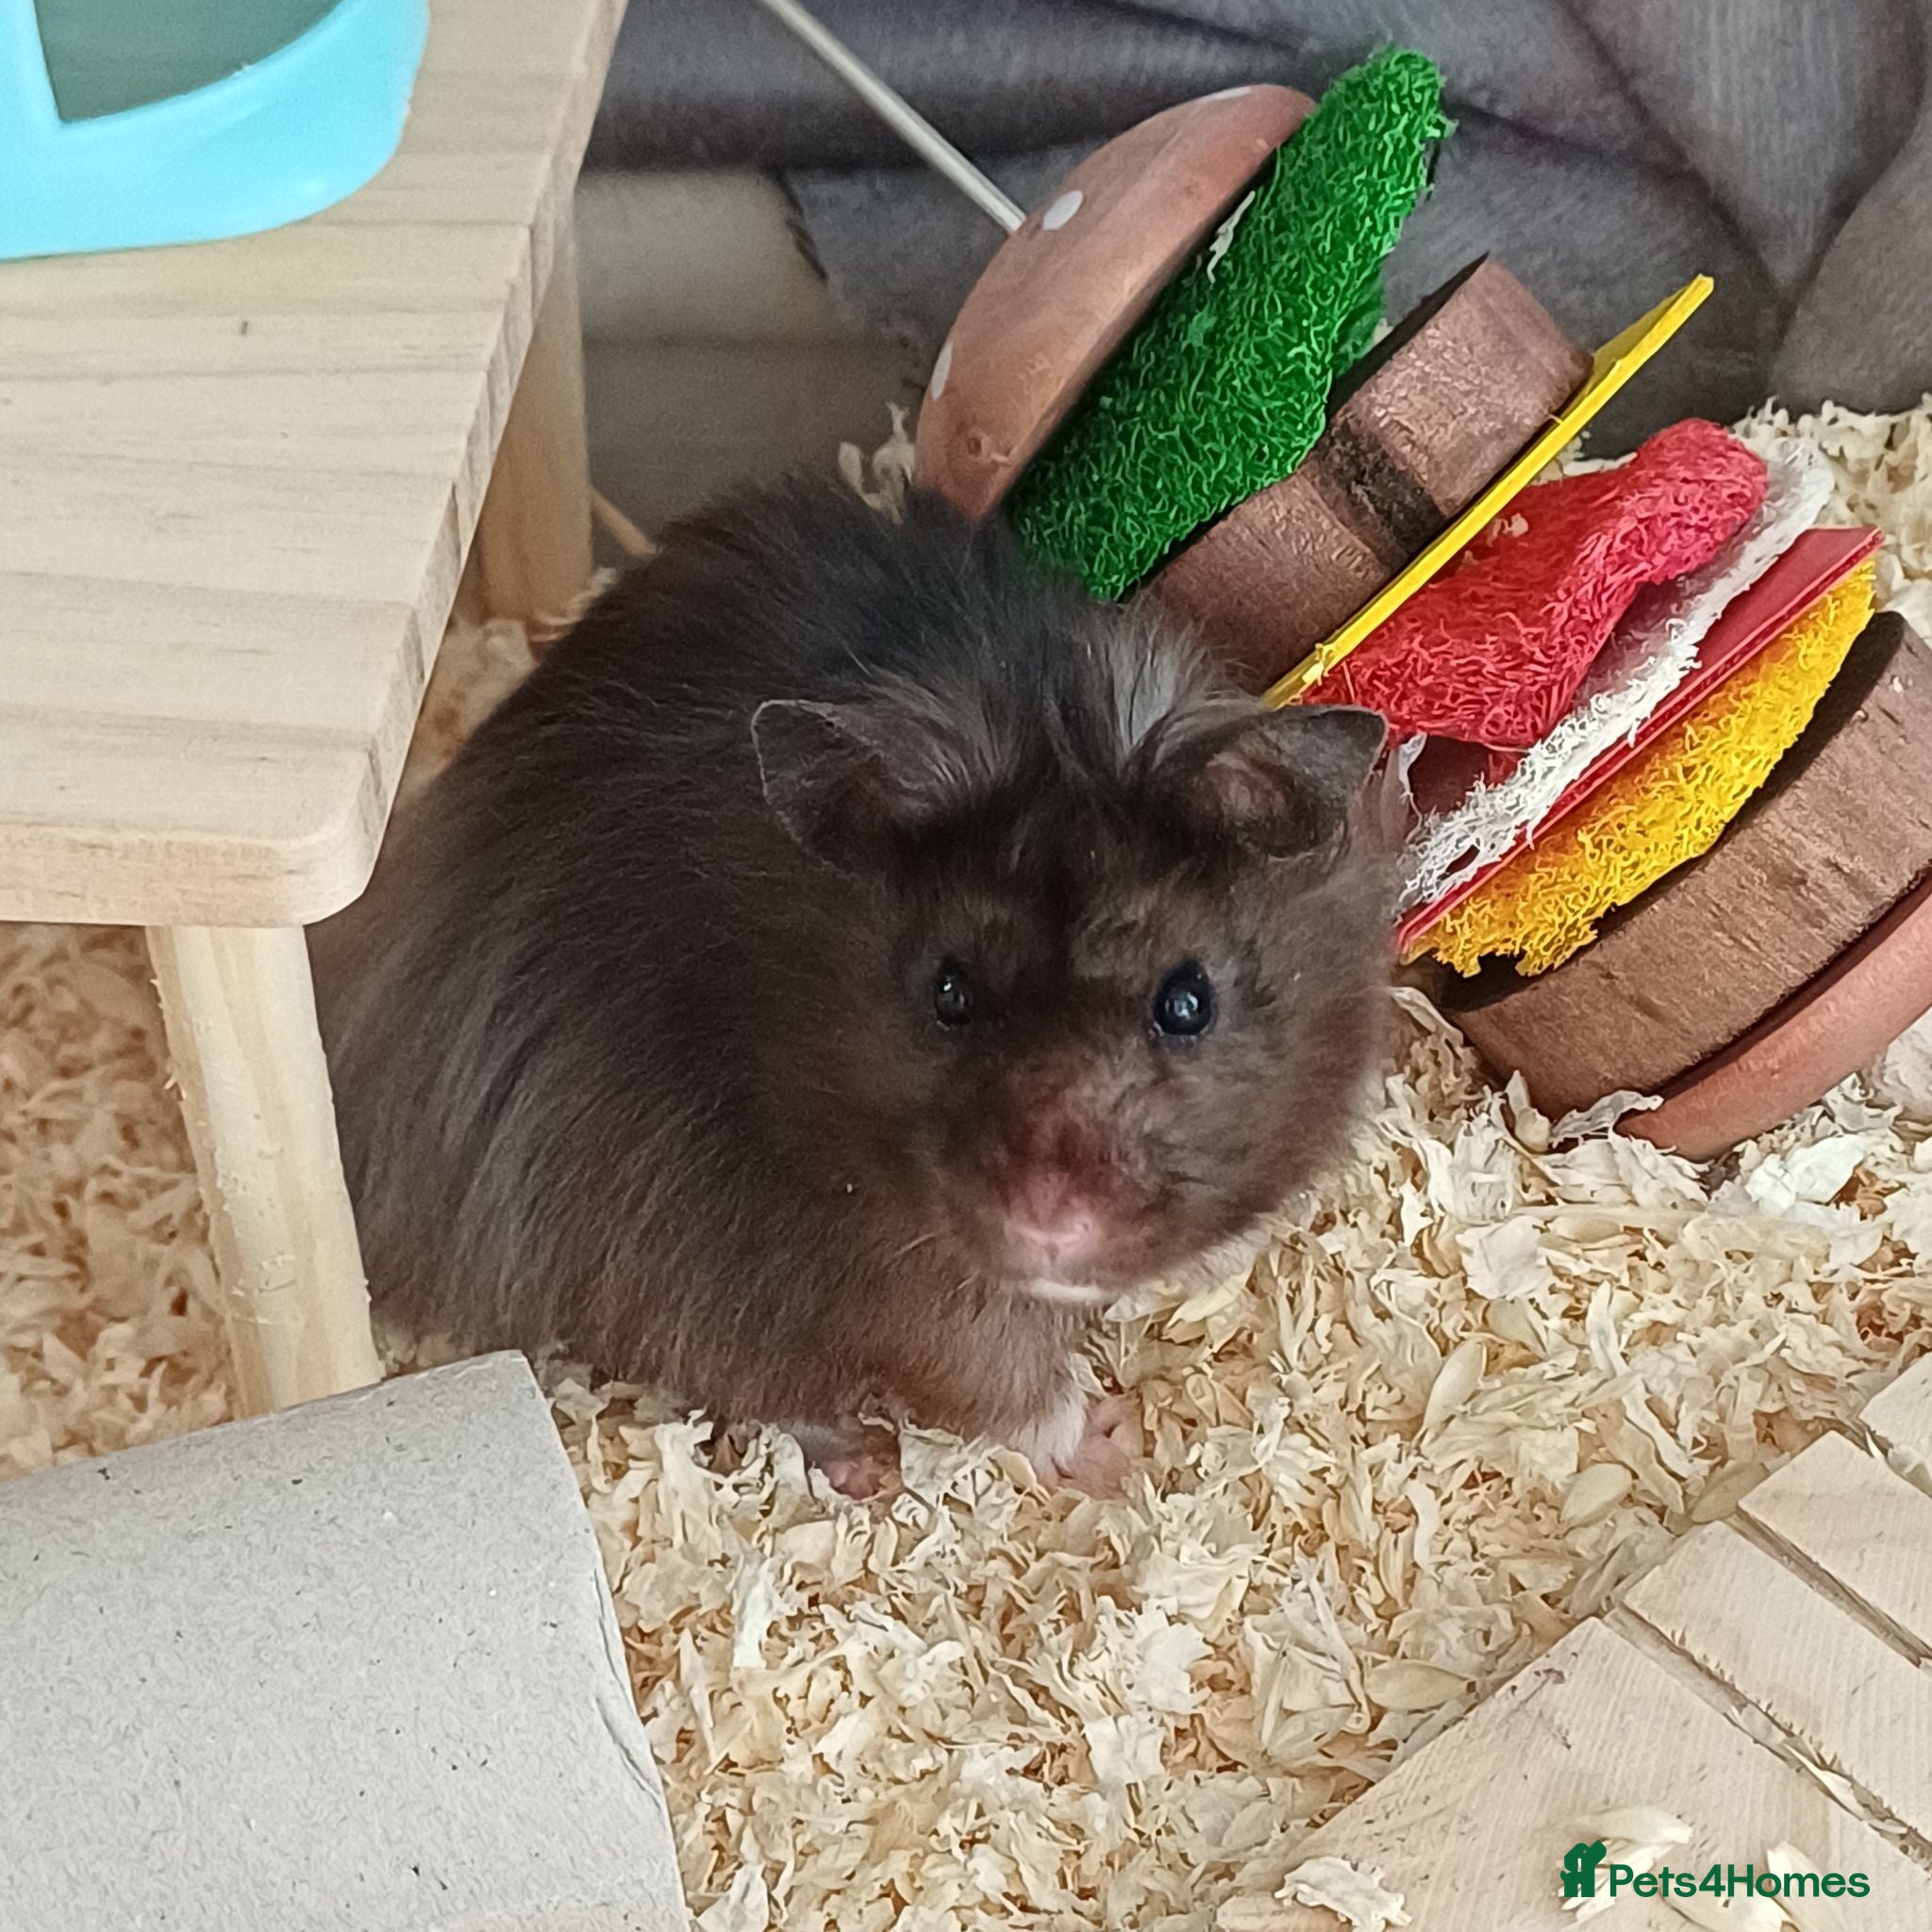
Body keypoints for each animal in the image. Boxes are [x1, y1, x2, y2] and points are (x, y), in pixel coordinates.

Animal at [310, 473, 1394, 1488]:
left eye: (1186, 1002)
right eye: (948, 992)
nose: (1046, 1221)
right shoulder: (883, 1267)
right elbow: (998, 1377)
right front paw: (1116, 1451)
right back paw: (867, 1465)